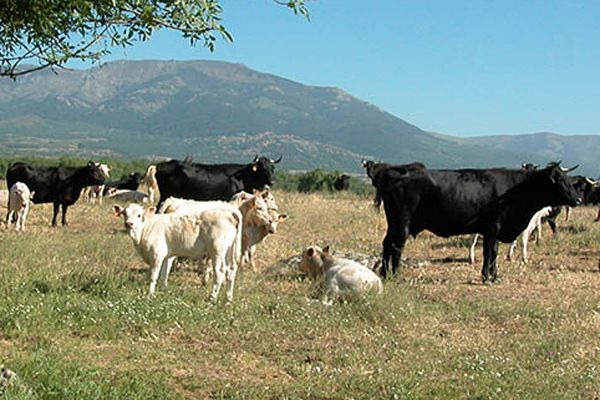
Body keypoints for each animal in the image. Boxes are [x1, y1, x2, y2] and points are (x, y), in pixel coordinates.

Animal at [113, 203, 243, 304]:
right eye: (125, 214)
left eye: (139, 215)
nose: (129, 223)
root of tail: (229, 212)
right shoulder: (167, 256)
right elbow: (164, 274)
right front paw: (163, 291)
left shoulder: (157, 256)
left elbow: (153, 276)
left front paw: (150, 294)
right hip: (229, 250)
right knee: (231, 270)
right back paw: (228, 299)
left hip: (217, 251)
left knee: (220, 273)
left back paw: (212, 298)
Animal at [360, 159, 580, 282]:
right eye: (559, 180)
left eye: (570, 180)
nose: (578, 199)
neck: (516, 190)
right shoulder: (492, 228)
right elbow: (489, 253)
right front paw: (486, 277)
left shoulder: (496, 231)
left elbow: (495, 253)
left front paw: (495, 276)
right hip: (402, 223)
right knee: (397, 246)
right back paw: (394, 275)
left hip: (394, 223)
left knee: (387, 243)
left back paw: (384, 273)